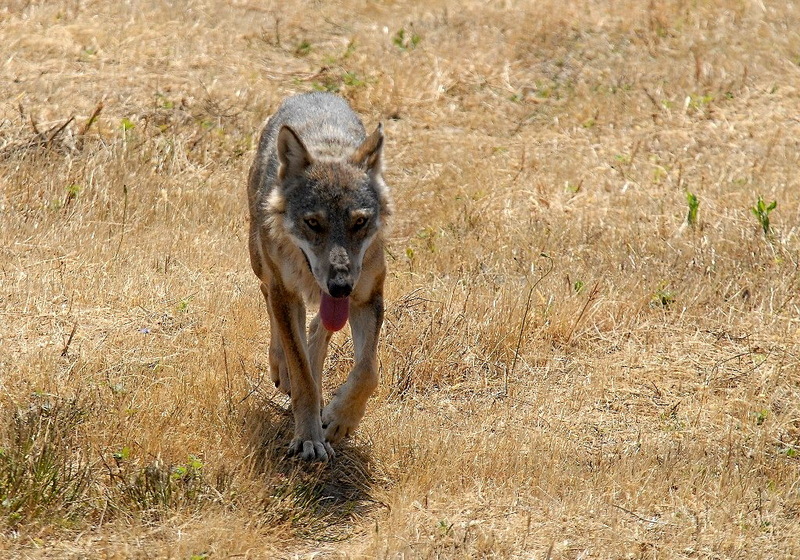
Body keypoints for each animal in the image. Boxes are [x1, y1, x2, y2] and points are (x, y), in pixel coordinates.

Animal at [247, 93, 390, 464]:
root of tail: (311, 93)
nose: (340, 285)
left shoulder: (367, 296)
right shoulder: (285, 292)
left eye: (359, 222)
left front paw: (340, 420)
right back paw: (281, 366)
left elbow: (368, 371)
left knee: (318, 330)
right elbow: (303, 378)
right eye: (313, 223)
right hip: (262, 266)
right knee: (270, 301)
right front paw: (309, 438)